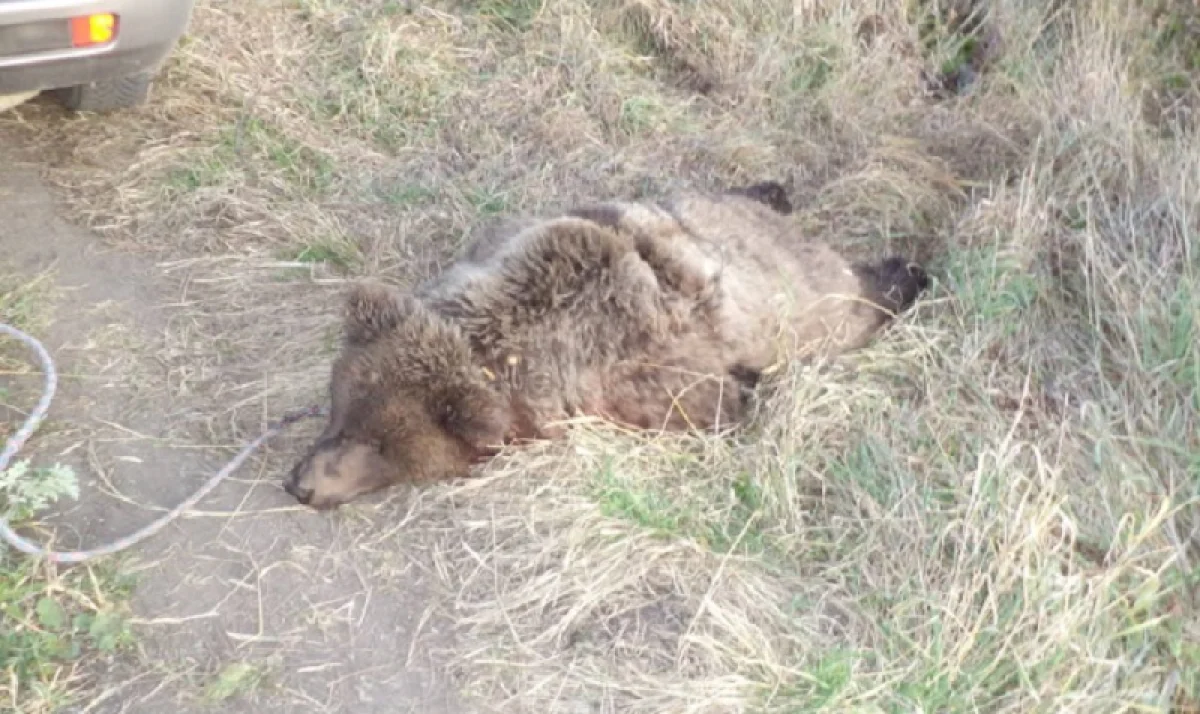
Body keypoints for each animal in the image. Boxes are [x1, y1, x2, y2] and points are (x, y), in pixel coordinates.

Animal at [283, 184, 926, 508]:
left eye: (381, 446)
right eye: (340, 411)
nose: (301, 484)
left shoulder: (646, 377)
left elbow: (715, 406)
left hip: (791, 299)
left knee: (844, 307)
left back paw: (908, 273)